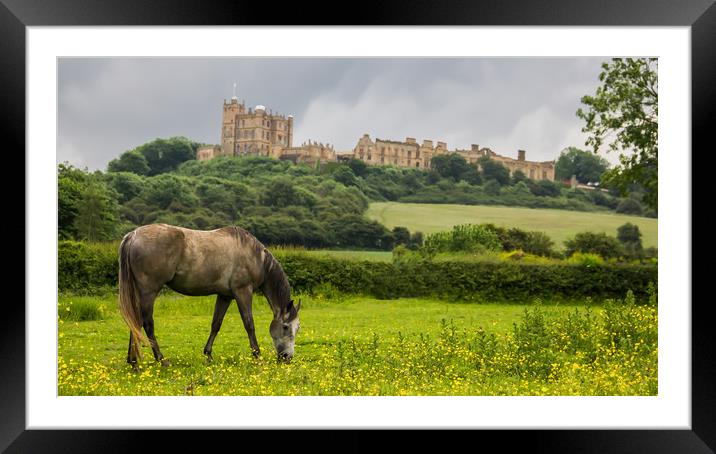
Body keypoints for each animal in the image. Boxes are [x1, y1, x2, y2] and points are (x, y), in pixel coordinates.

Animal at [117, 222, 300, 370]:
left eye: (297, 328)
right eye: (285, 326)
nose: (287, 357)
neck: (255, 256)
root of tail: (132, 236)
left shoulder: (225, 296)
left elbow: (216, 324)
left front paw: (208, 355)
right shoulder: (243, 292)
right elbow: (249, 324)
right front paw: (257, 355)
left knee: (135, 322)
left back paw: (133, 361)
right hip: (148, 292)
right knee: (147, 324)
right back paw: (161, 360)